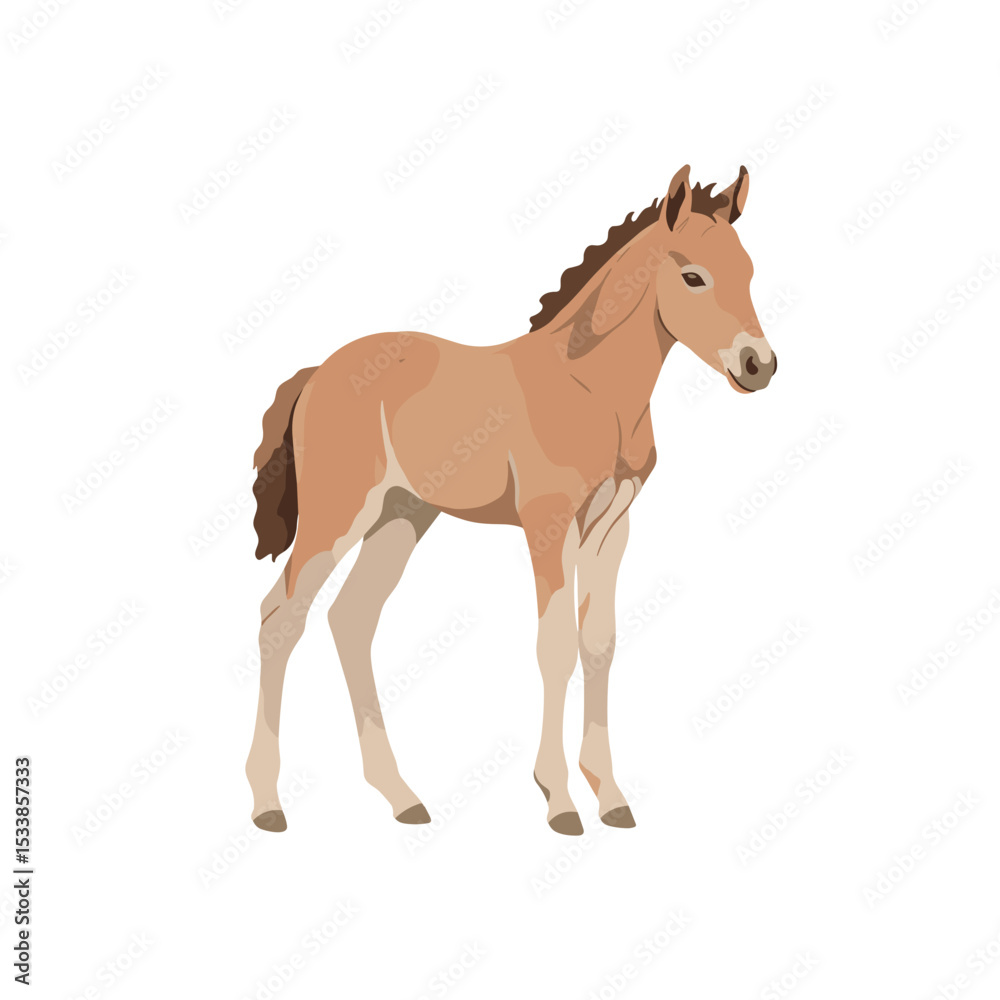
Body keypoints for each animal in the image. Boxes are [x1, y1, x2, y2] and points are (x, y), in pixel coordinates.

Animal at [244, 164, 777, 836]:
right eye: (692, 277)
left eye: (750, 272)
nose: (759, 365)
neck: (591, 388)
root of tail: (317, 373)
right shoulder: (548, 522)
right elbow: (555, 647)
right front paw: (560, 801)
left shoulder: (612, 525)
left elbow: (598, 644)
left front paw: (611, 797)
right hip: (337, 515)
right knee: (281, 617)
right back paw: (268, 802)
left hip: (401, 516)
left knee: (352, 619)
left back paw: (401, 796)